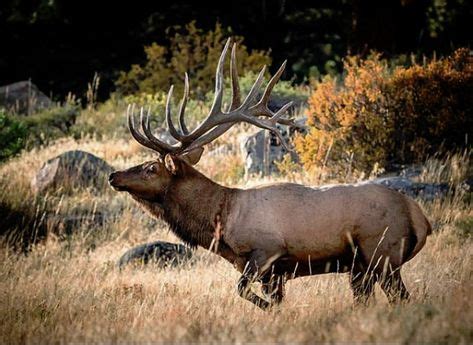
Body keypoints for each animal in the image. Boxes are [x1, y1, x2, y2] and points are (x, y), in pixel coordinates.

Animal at [108, 39, 432, 308]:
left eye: (151, 168)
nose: (113, 176)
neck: (221, 222)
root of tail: (421, 219)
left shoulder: (267, 252)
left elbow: (243, 290)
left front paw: (268, 307)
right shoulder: (272, 273)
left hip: (382, 253)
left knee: (401, 298)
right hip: (361, 267)